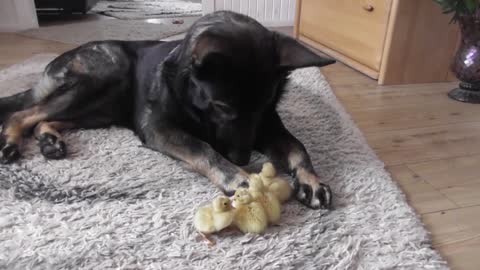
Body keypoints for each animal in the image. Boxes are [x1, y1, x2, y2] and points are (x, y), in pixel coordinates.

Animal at [0, 11, 336, 209]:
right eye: (222, 106)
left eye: (267, 105)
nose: (243, 158)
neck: (196, 105)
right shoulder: (161, 129)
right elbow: (202, 148)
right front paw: (239, 177)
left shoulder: (267, 127)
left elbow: (298, 147)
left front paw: (311, 180)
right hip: (106, 76)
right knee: (24, 113)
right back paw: (11, 142)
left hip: (102, 108)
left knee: (46, 118)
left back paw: (49, 140)